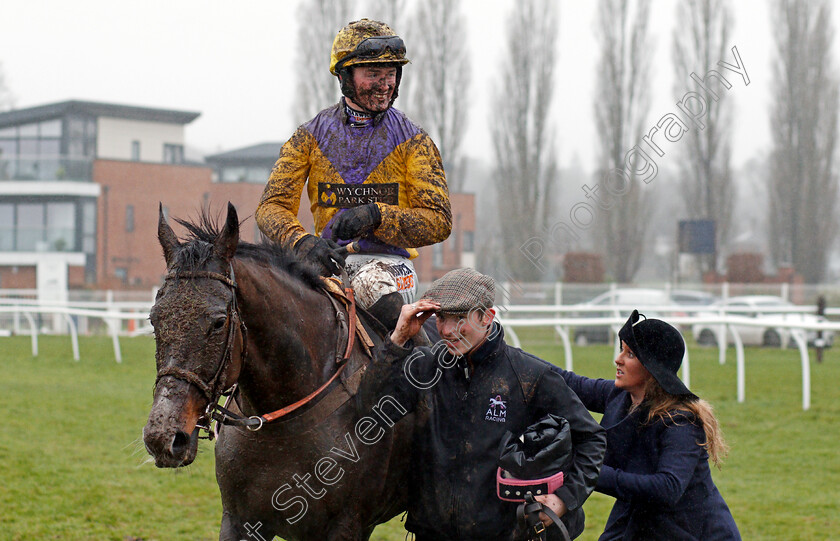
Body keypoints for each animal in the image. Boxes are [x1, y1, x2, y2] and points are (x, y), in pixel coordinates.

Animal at [144, 202, 414, 540]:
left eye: (218, 322)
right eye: (154, 319)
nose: (162, 436)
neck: (286, 422)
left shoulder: (348, 524)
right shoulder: (239, 520)